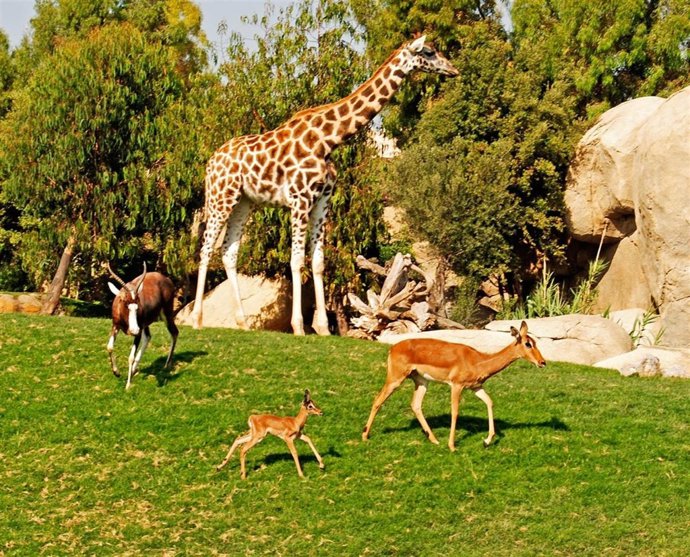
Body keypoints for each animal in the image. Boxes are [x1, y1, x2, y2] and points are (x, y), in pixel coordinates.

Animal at [361, 321, 546, 451]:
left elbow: (489, 402)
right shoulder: (456, 386)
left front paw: (486, 441)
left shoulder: (476, 387)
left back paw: (434, 439)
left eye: (535, 342)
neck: (479, 360)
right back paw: (365, 436)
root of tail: (392, 349)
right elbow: (455, 411)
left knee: (415, 404)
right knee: (378, 399)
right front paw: (452, 446)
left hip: (421, 381)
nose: (542, 362)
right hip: (396, 378)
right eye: (528, 343)